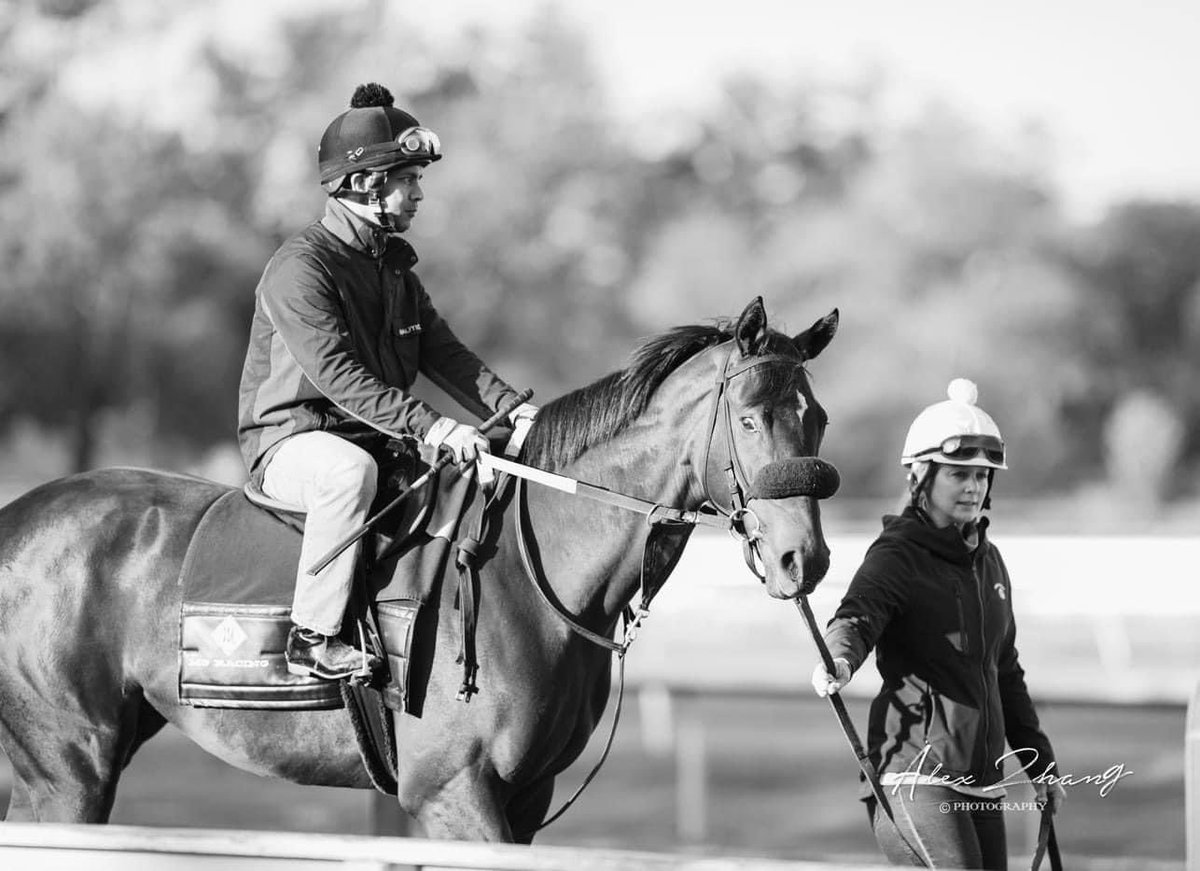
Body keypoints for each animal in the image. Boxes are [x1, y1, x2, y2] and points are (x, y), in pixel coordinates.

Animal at [0, 296, 840, 844]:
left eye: (817, 417)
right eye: (749, 418)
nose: (806, 557)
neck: (530, 574)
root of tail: (16, 518)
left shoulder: (524, 796)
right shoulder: (452, 792)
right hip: (67, 769)